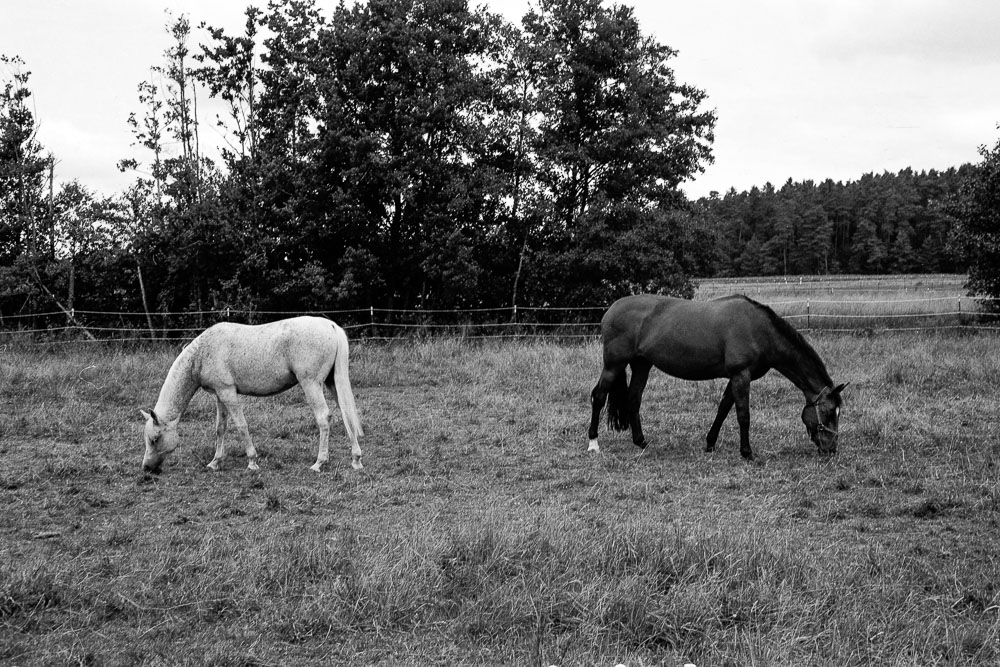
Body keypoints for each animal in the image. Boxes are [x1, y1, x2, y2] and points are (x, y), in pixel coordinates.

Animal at [139, 318, 362, 474]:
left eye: (155, 438)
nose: (147, 468)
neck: (202, 353)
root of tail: (330, 325)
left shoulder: (228, 393)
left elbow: (241, 425)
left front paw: (252, 462)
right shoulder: (220, 395)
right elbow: (220, 428)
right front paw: (215, 462)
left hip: (311, 385)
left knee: (324, 418)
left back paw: (319, 463)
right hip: (332, 383)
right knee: (346, 415)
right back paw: (356, 459)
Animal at [588, 294, 848, 462]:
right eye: (827, 412)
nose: (831, 449)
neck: (759, 330)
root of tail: (611, 309)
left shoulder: (736, 378)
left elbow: (723, 409)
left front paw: (710, 443)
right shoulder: (741, 375)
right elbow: (743, 415)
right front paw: (747, 453)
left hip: (642, 364)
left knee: (633, 399)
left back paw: (641, 441)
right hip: (614, 365)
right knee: (598, 396)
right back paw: (593, 444)